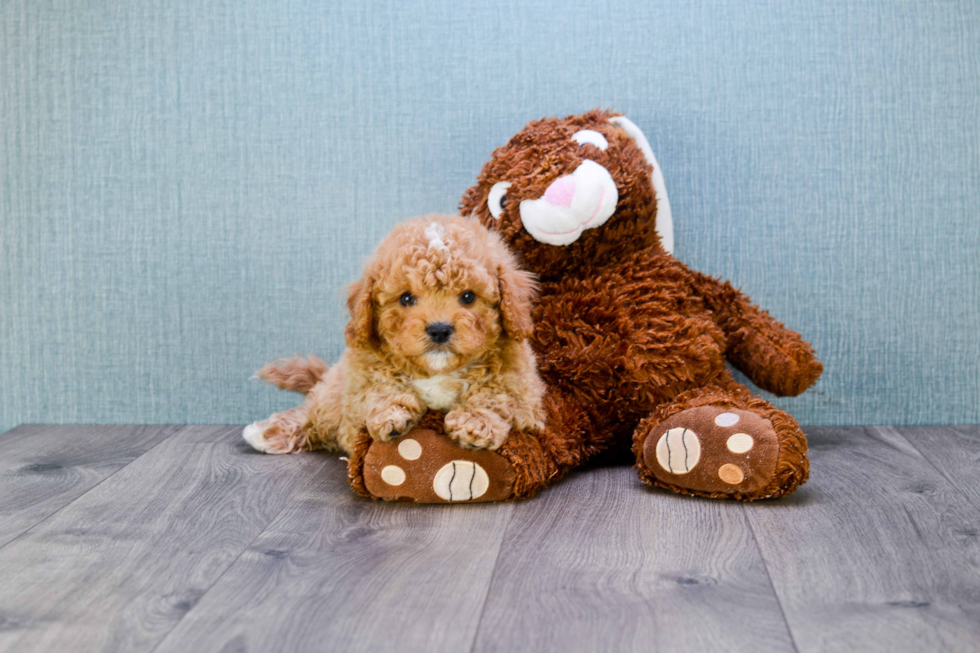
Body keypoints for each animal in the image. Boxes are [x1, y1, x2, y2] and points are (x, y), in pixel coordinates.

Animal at [238, 213, 544, 454]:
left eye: (468, 296)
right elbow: (379, 388)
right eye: (406, 298)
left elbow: (494, 394)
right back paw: (268, 433)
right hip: (333, 393)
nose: (439, 329)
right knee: (313, 415)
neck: (436, 371)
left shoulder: (524, 390)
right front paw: (392, 413)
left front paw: (473, 422)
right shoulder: (360, 375)